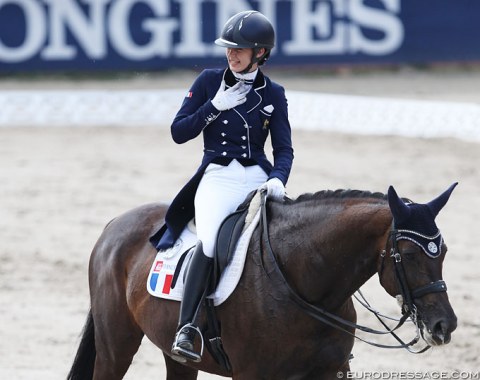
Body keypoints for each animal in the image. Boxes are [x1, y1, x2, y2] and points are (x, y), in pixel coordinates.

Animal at [67, 183, 458, 378]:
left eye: (443, 252)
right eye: (409, 255)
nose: (444, 326)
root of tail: (115, 224)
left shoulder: (329, 372)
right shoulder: (253, 375)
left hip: (176, 355)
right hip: (116, 346)